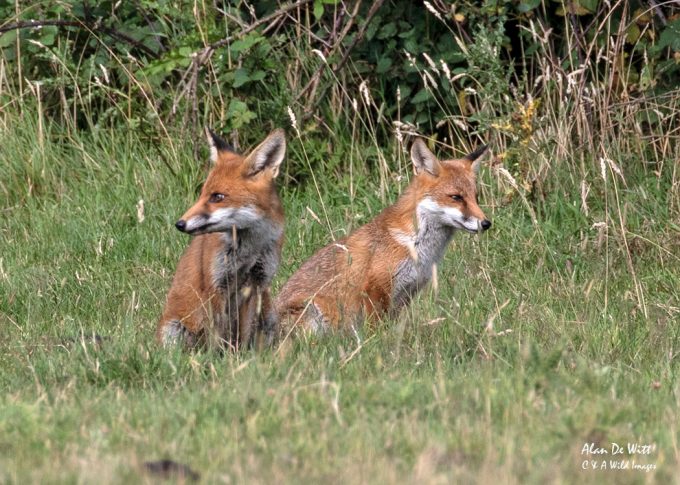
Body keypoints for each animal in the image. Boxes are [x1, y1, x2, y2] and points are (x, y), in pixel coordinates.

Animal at [157, 128, 286, 349]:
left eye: (217, 197)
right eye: (201, 194)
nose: (180, 224)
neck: (250, 249)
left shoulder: (256, 284)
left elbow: (243, 333)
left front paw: (241, 355)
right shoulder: (215, 285)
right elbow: (217, 336)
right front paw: (217, 357)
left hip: (269, 315)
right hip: (175, 328)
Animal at [276, 138, 491, 332]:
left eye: (476, 197)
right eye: (456, 197)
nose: (486, 223)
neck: (416, 245)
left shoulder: (405, 294)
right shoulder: (376, 289)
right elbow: (377, 331)